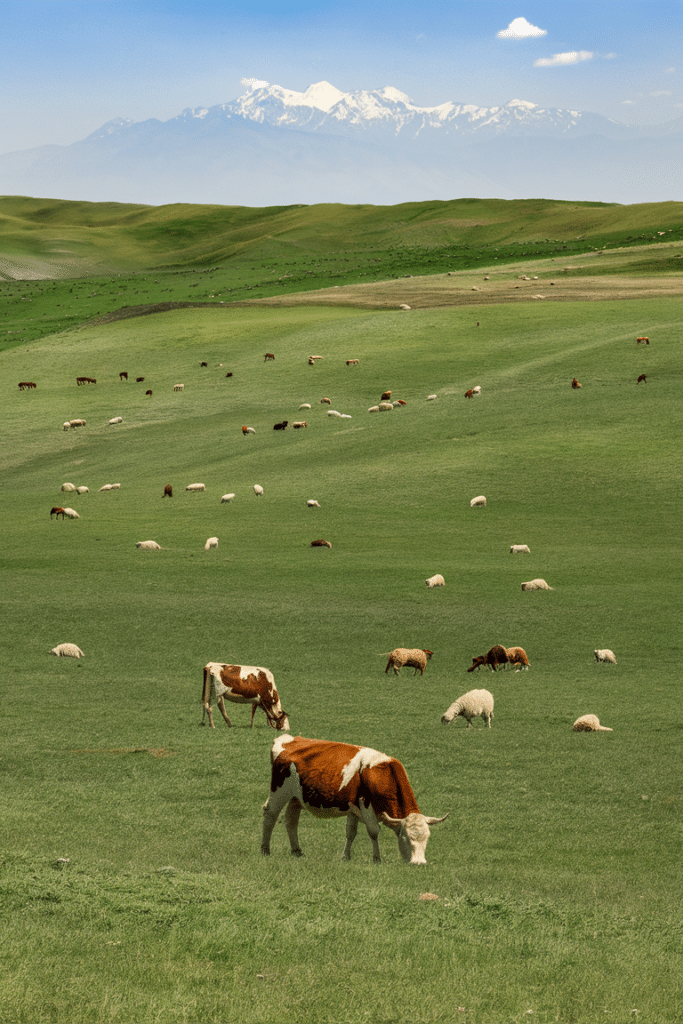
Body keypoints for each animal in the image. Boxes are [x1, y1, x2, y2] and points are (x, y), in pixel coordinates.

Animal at [261, 734, 448, 864]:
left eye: (427, 838)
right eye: (406, 838)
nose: (419, 863)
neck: (383, 772)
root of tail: (287, 739)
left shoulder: (354, 809)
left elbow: (350, 833)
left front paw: (346, 857)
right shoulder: (365, 806)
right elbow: (373, 832)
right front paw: (377, 859)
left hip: (296, 798)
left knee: (291, 821)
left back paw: (297, 851)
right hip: (279, 791)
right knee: (270, 815)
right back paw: (265, 850)